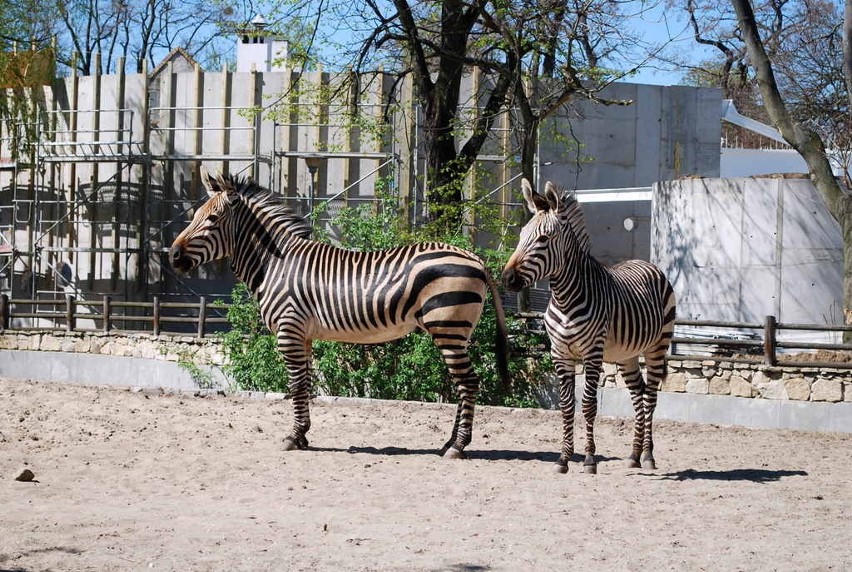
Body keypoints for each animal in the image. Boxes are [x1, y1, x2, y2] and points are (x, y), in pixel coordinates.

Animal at [170, 169, 510, 456]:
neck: (276, 264)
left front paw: (292, 437)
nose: (172, 255)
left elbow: (295, 385)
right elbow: (306, 384)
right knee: (465, 383)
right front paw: (303, 435)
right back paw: (449, 442)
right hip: (457, 331)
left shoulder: (288, 331)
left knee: (469, 382)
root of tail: (475, 258)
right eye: (195, 216)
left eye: (213, 219)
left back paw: (458, 446)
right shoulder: (303, 335)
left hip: (448, 326)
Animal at [502, 180, 676, 474]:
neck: (564, 298)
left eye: (543, 239)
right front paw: (563, 459)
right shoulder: (560, 353)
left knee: (651, 396)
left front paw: (589, 459)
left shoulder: (592, 354)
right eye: (522, 234)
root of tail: (645, 262)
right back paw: (634, 455)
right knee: (638, 395)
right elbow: (566, 406)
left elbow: (588, 405)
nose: (506, 278)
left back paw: (649, 456)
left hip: (657, 346)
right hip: (626, 355)